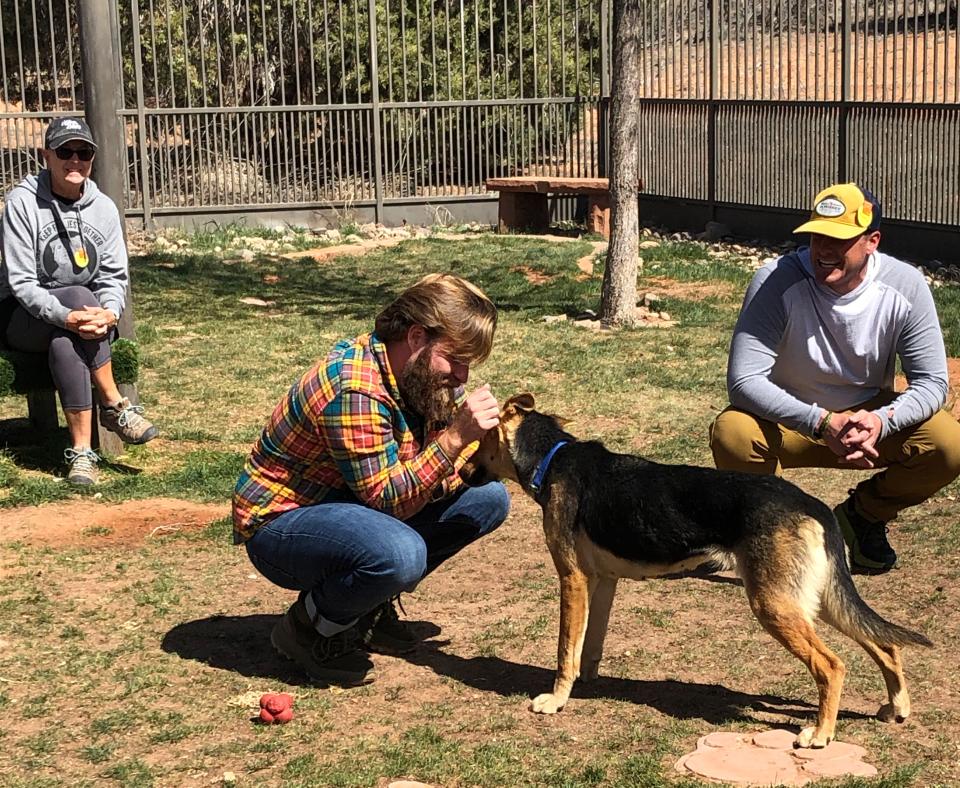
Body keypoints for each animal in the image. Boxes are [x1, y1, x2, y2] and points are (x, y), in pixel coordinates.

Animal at [462, 398, 932, 748]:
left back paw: (820, 733)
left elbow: (563, 650)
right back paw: (896, 708)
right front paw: (588, 681)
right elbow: (588, 645)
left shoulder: (572, 579)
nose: (460, 472)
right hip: (815, 601)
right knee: (885, 644)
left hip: (776, 606)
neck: (552, 458)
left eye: (476, 439)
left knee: (832, 665)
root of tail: (812, 504)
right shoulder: (604, 582)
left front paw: (556, 700)